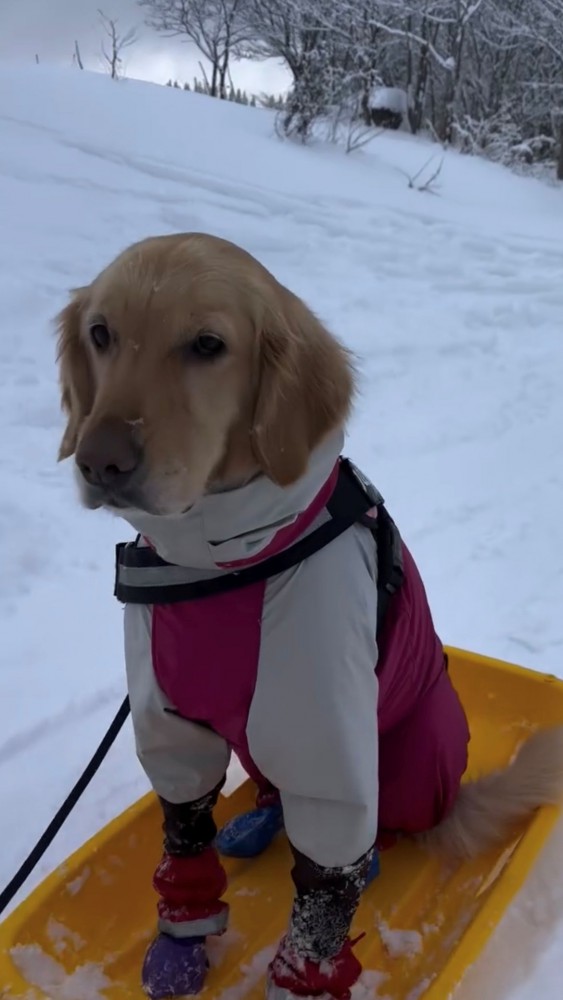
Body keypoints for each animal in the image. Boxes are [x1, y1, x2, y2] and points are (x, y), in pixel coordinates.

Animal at [54, 230, 563, 996]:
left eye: (207, 345)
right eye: (101, 333)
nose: (98, 462)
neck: (221, 565)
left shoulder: (323, 740)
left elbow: (325, 885)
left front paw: (303, 973)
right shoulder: (169, 725)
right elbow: (184, 830)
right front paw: (182, 935)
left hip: (412, 749)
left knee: (376, 830)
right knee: (269, 793)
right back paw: (255, 822)